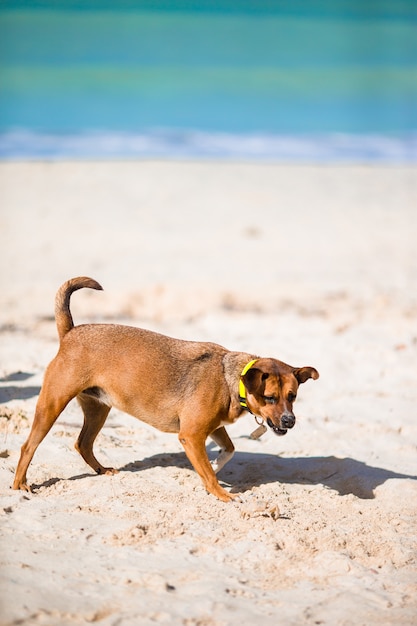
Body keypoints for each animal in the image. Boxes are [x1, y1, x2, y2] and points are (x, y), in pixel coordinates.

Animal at [13, 276, 318, 500]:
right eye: (270, 397)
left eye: (292, 396)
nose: (289, 421)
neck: (231, 378)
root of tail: (71, 333)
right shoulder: (191, 436)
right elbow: (210, 474)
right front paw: (222, 494)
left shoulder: (212, 428)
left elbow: (228, 451)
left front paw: (214, 467)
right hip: (52, 405)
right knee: (28, 446)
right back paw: (20, 486)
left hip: (99, 408)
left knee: (83, 443)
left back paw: (101, 470)